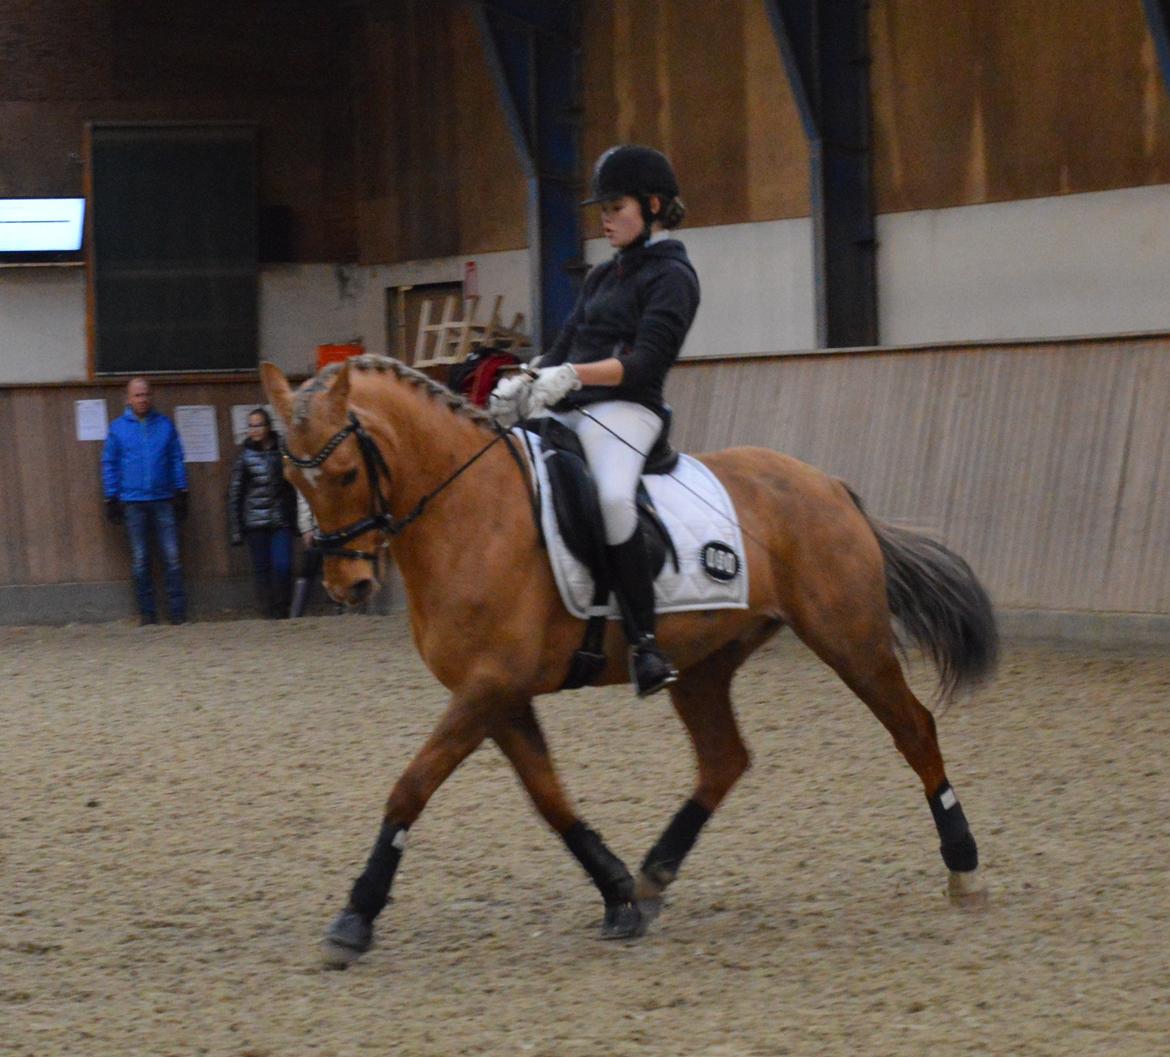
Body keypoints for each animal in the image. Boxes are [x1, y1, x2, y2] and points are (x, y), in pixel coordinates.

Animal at [263, 355, 996, 969]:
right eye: (293, 477)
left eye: (347, 473)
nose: (349, 586)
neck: (468, 511)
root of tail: (830, 485)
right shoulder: (499, 694)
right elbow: (550, 797)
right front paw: (616, 893)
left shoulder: (487, 686)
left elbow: (412, 786)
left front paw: (355, 916)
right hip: (702, 664)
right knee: (725, 759)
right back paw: (651, 876)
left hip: (850, 638)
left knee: (913, 729)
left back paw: (964, 868)